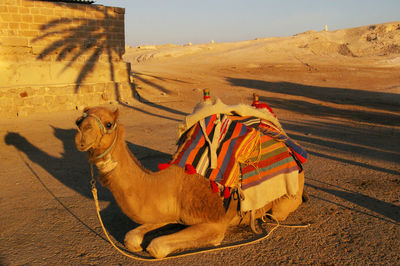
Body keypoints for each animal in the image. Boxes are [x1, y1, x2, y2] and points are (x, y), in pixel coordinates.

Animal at [75, 106, 304, 258]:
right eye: (79, 121)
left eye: (108, 124)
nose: (81, 138)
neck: (175, 184)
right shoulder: (172, 211)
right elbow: (131, 237)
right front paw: (138, 243)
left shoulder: (213, 223)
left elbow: (156, 247)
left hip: (288, 198)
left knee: (277, 211)